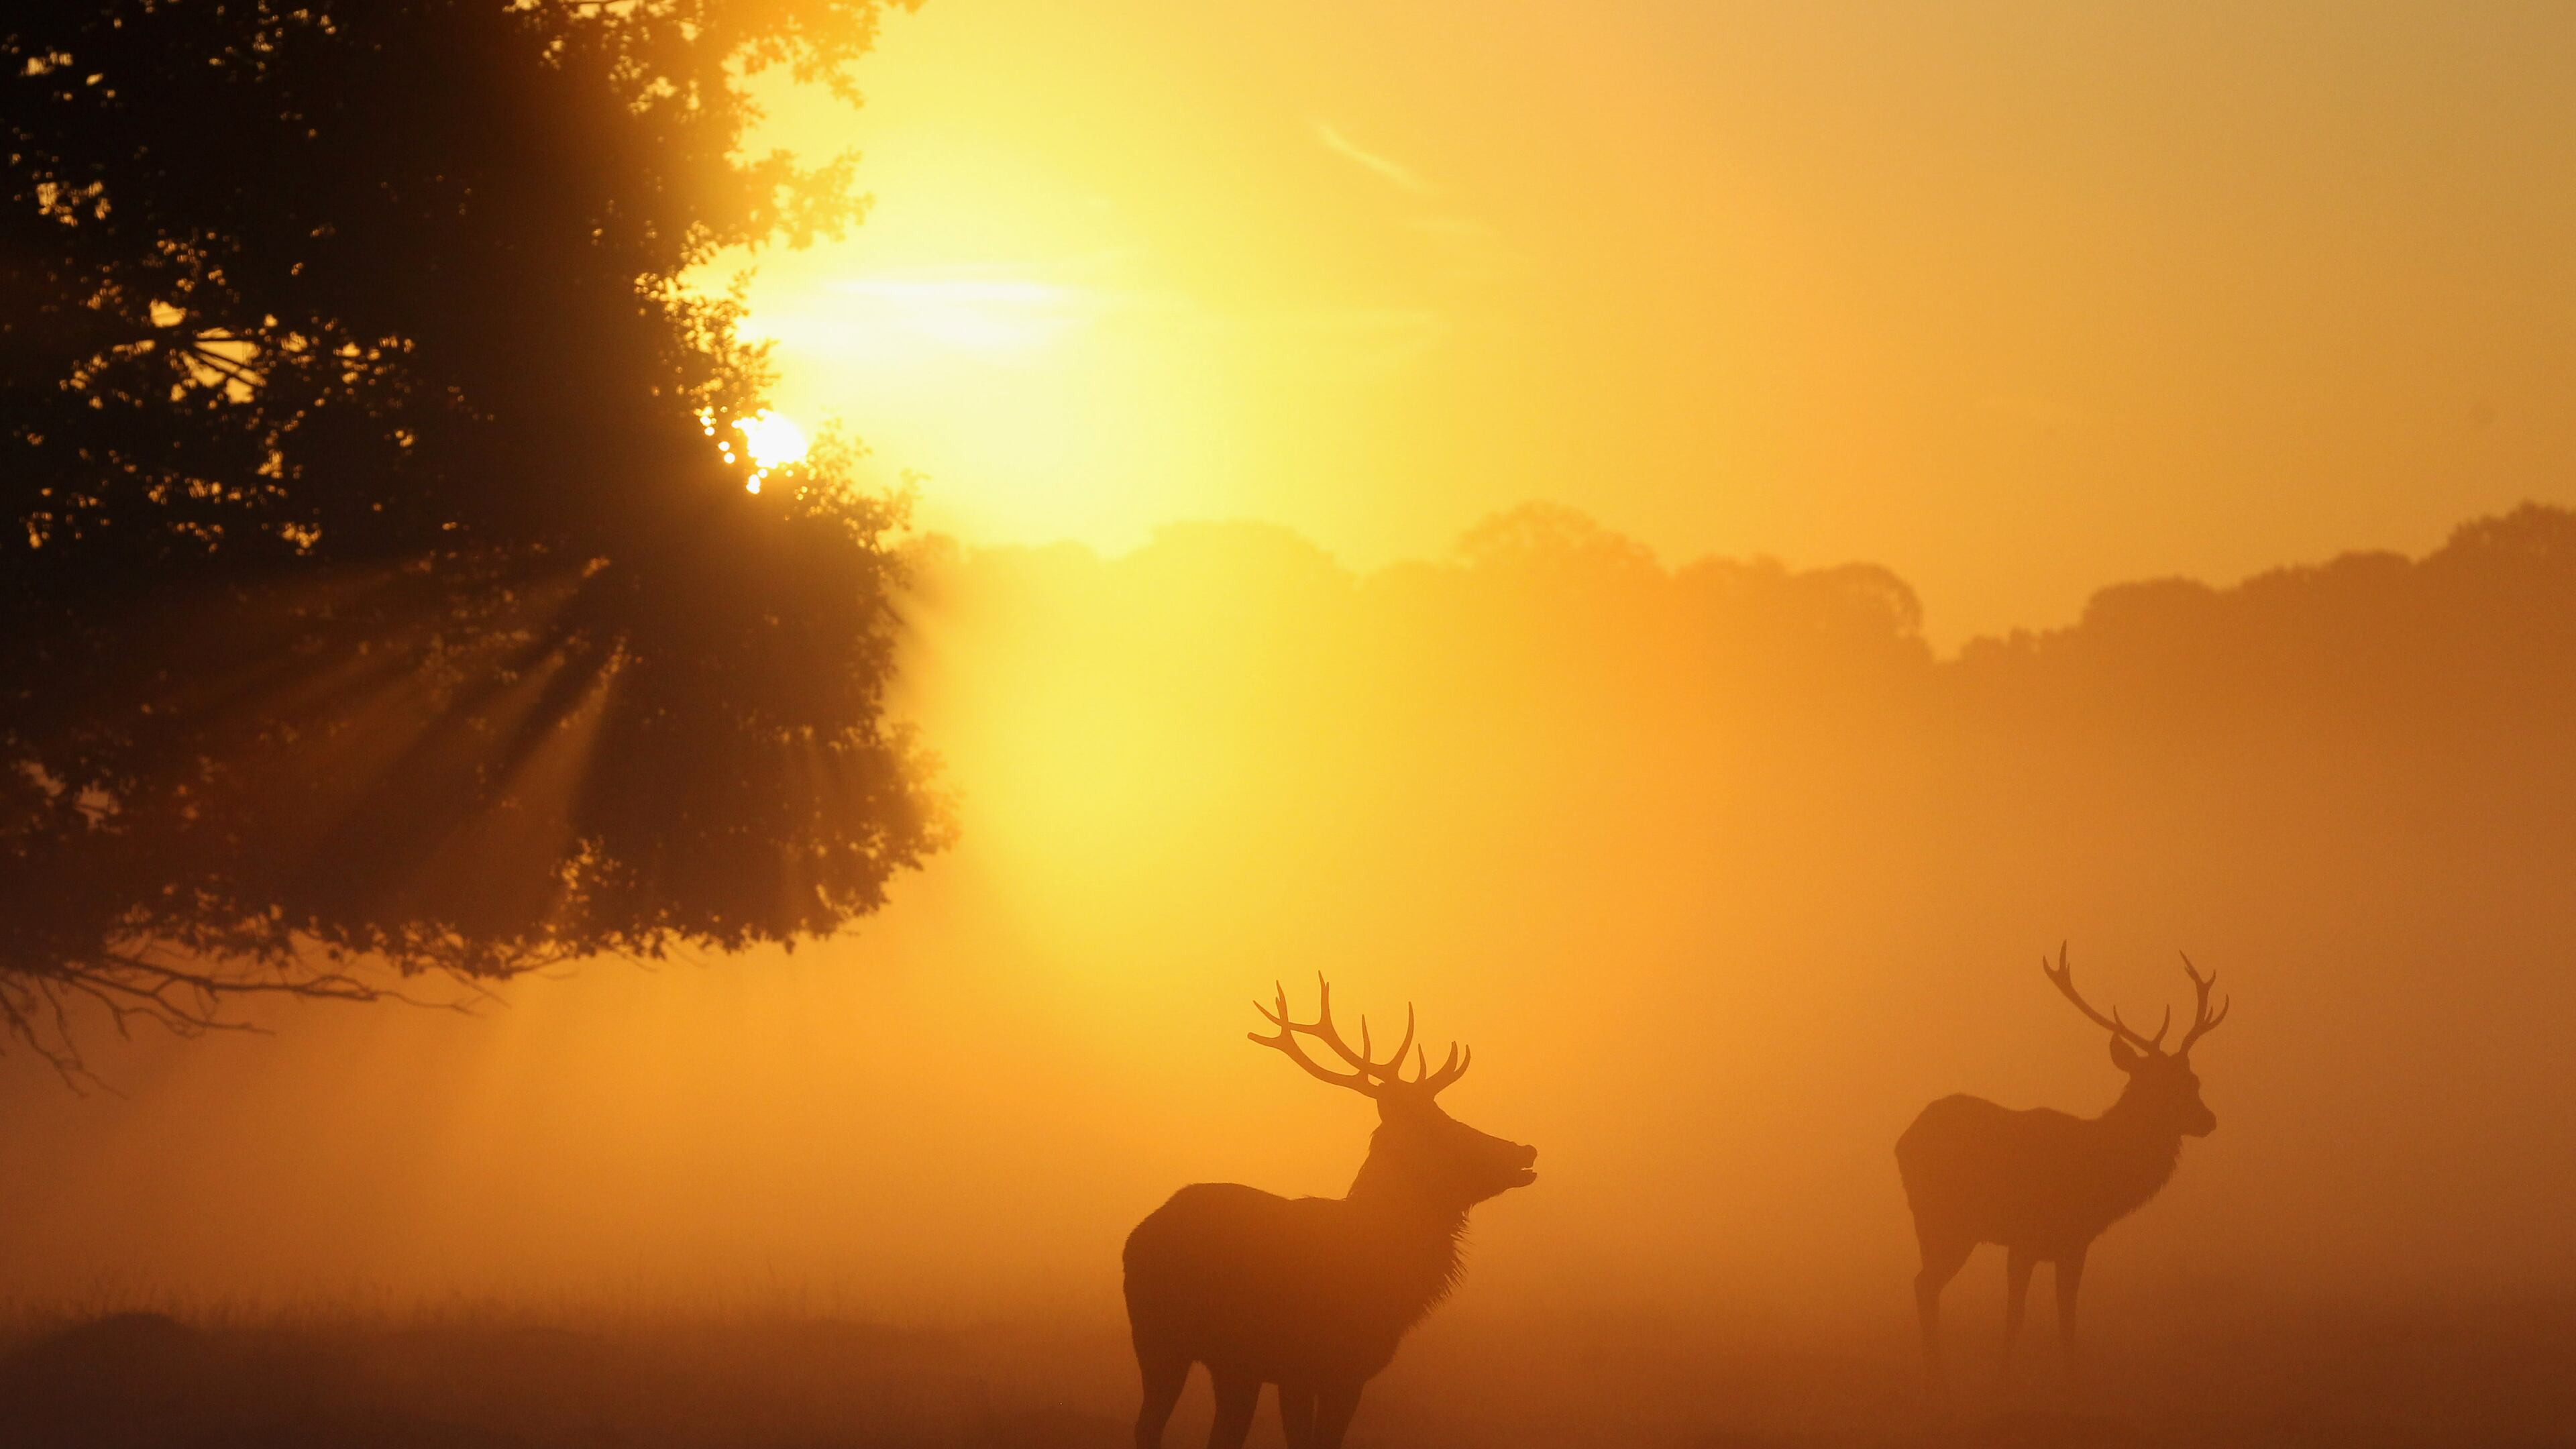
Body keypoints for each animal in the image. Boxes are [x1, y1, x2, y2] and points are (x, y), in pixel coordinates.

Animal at [1122, 977, 1538, 1449]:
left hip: (1229, 1364)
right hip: (1160, 1339)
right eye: (1442, 1127)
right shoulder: (1312, 1367)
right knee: (1150, 1426)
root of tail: (1137, 1235)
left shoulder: (1332, 1371)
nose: (1525, 1150)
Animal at [1896, 944, 2230, 1391]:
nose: (2208, 1120)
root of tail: (1902, 1142)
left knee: (1924, 1285)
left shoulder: (2067, 1242)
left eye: (2193, 1081)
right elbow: (2025, 1316)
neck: (2095, 1169)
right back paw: (1938, 1380)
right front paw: (2008, 1384)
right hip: (1948, 1223)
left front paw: (2061, 1382)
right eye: (2159, 1086)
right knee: (1924, 1285)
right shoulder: (2034, 1239)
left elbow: (2061, 1316)